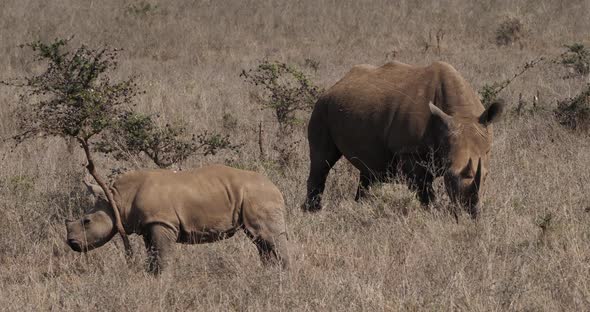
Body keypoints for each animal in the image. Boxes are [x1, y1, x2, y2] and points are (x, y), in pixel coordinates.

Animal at [66, 165, 290, 274]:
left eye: (86, 221)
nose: (71, 243)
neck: (119, 199)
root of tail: (274, 186)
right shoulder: (149, 224)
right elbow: (152, 253)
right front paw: (152, 276)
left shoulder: (162, 222)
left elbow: (162, 254)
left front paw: (163, 279)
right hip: (255, 195)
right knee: (259, 240)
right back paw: (270, 273)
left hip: (258, 195)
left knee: (267, 237)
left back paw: (284, 274)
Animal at [306, 60, 504, 217]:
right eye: (449, 175)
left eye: (486, 176)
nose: (470, 213)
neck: (460, 114)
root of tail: (335, 84)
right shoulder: (409, 151)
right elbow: (424, 190)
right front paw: (432, 214)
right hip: (322, 108)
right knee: (321, 162)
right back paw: (312, 212)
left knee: (369, 169)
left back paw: (360, 207)